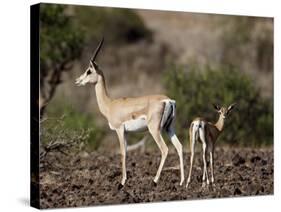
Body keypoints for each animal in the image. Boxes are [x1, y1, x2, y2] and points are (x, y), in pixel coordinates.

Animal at [75, 38, 184, 186]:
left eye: (89, 71)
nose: (77, 81)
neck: (110, 104)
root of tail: (168, 100)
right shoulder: (126, 132)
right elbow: (126, 152)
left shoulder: (119, 130)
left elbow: (123, 152)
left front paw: (122, 181)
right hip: (169, 128)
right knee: (179, 147)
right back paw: (183, 182)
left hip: (154, 130)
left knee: (165, 149)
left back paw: (155, 180)